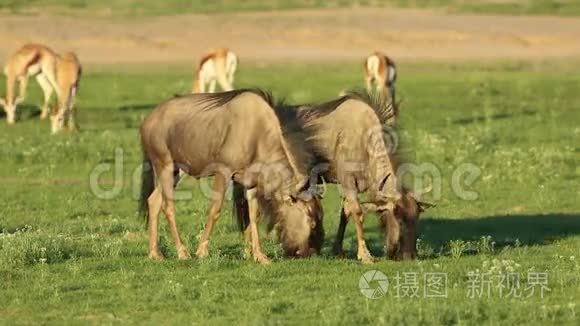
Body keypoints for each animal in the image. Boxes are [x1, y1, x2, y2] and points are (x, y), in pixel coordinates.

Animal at [139, 89, 324, 264]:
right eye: (312, 221)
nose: (312, 253)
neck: (257, 131)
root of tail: (148, 120)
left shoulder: (251, 183)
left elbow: (254, 217)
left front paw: (259, 256)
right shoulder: (223, 172)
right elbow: (215, 210)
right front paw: (202, 251)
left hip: (176, 171)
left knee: (153, 200)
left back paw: (155, 253)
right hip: (165, 165)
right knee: (167, 206)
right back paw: (182, 252)